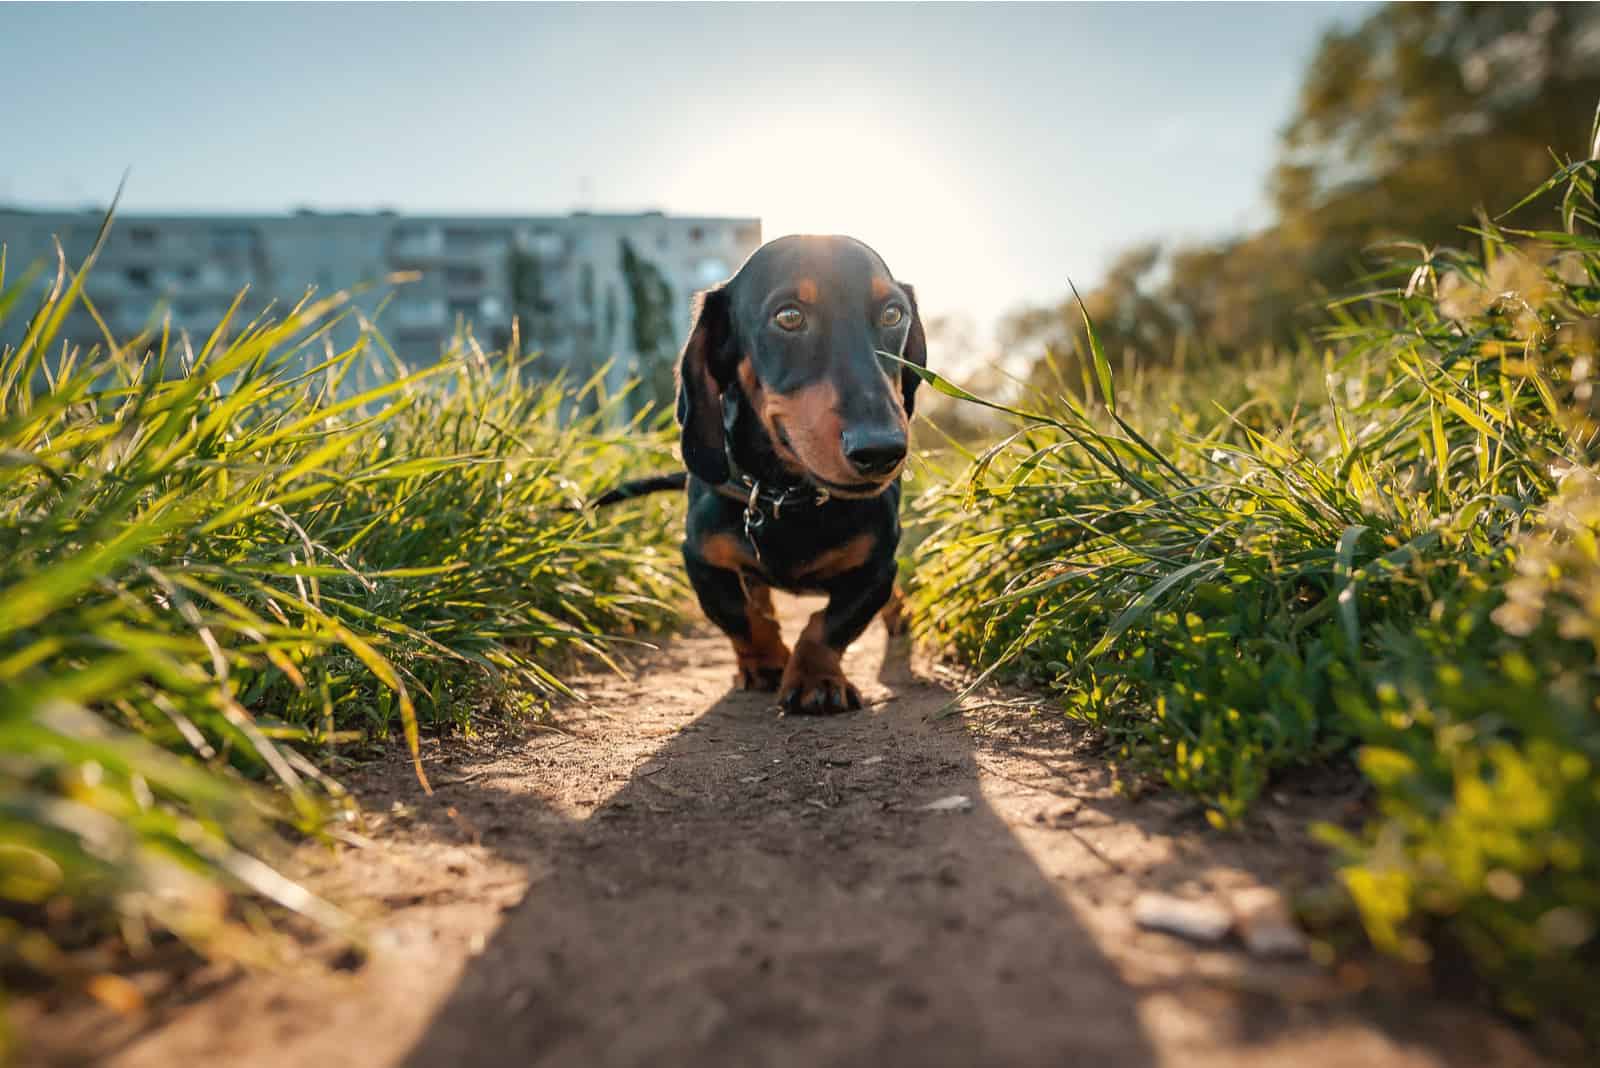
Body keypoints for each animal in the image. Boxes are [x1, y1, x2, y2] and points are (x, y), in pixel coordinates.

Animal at [598, 238, 928, 713]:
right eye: (789, 317)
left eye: (892, 314)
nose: (881, 450)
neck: (789, 497)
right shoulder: (701, 558)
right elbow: (741, 617)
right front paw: (767, 663)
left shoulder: (877, 567)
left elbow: (829, 625)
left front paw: (816, 679)